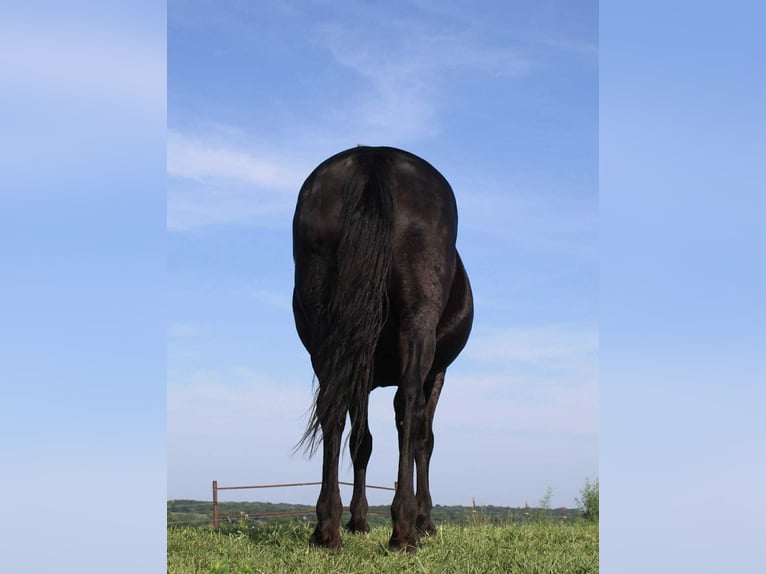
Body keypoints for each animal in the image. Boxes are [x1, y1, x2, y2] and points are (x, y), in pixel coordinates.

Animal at [292, 145, 473, 553]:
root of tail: (373, 157)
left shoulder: (361, 369)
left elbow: (361, 442)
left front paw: (358, 520)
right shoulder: (437, 372)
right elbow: (424, 437)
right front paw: (425, 521)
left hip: (328, 334)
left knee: (331, 409)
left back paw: (327, 527)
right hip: (416, 325)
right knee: (408, 408)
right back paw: (404, 528)